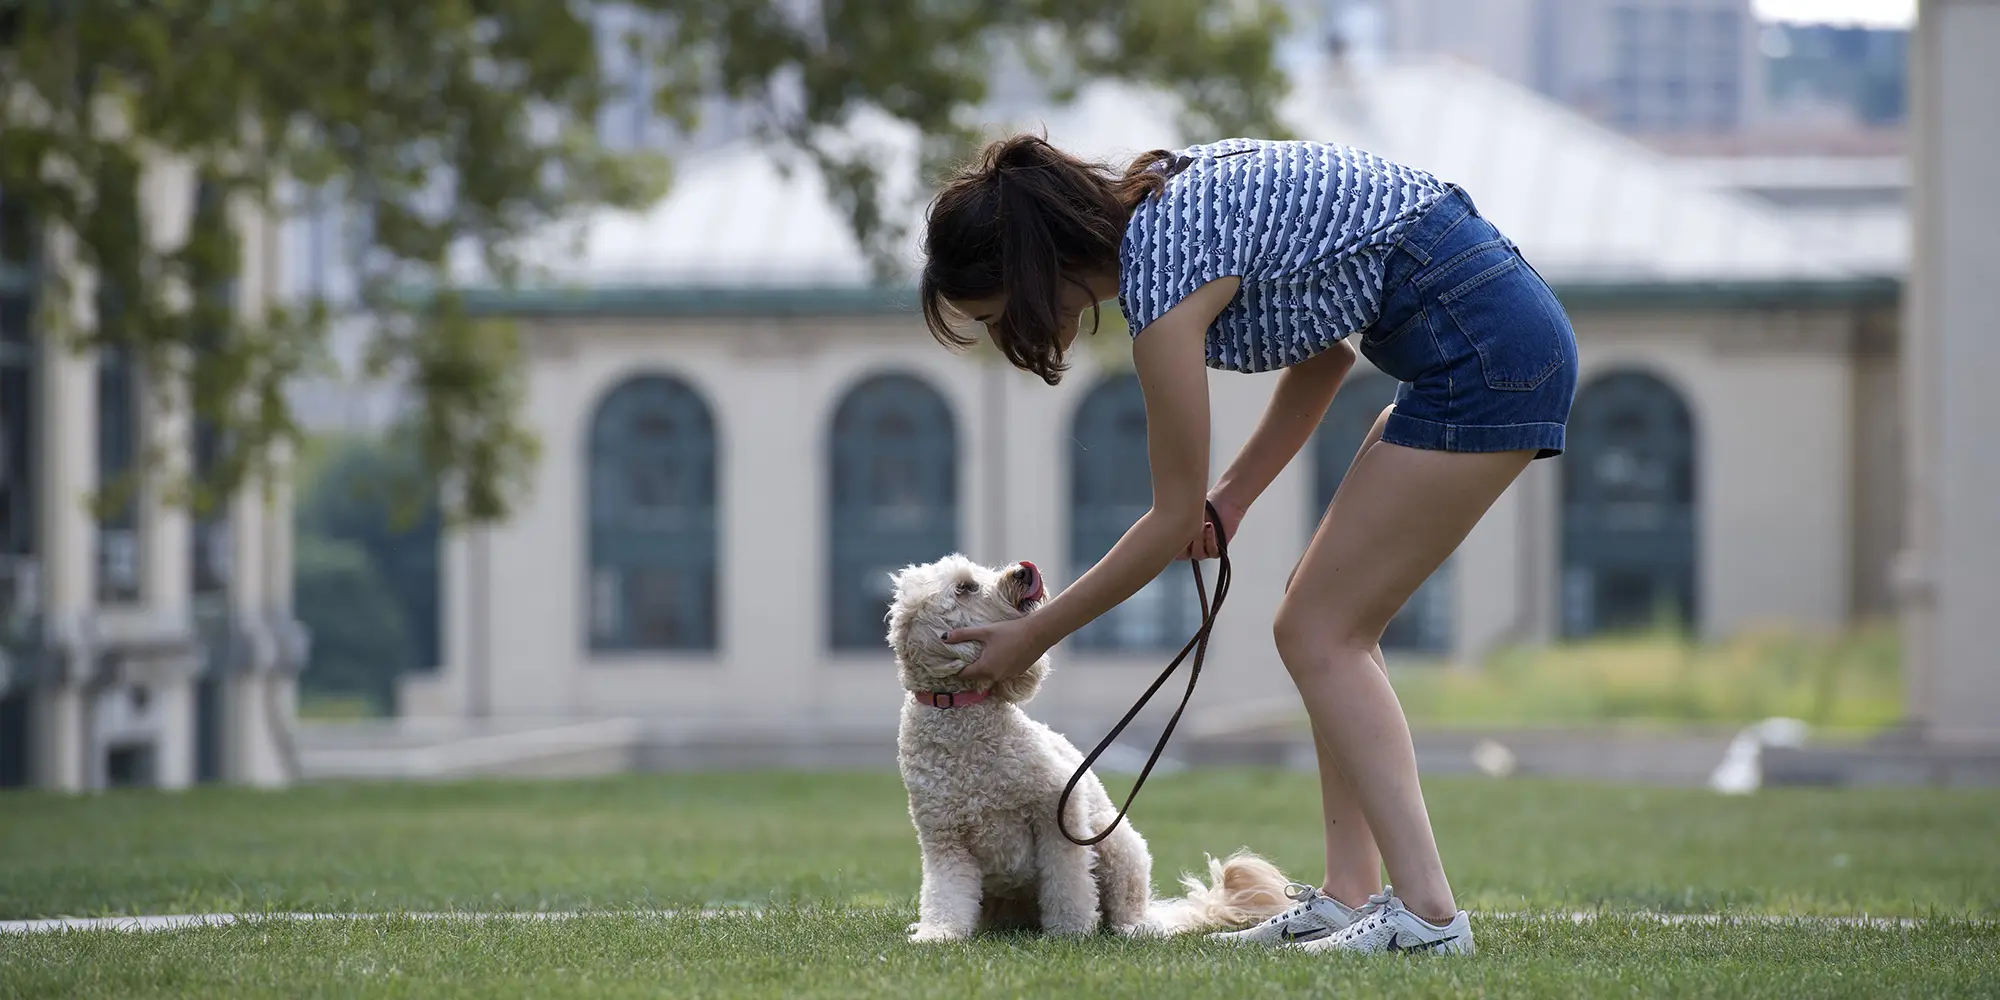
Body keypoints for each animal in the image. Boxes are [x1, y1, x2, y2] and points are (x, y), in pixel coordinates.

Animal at [884, 552, 1288, 940]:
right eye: (965, 587)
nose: (1023, 573)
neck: (959, 719)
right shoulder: (944, 841)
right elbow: (946, 895)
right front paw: (938, 934)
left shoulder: (1057, 812)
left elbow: (1068, 883)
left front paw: (1071, 930)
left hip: (1116, 844)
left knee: (1125, 905)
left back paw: (1134, 929)